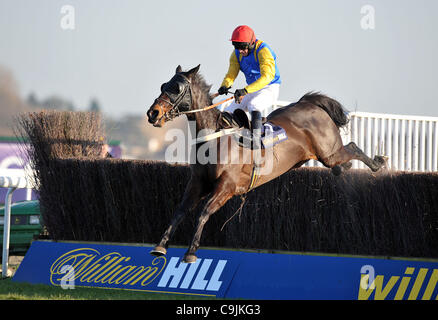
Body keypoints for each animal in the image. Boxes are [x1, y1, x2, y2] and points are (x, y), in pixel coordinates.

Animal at [146, 65, 384, 262]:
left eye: (176, 88)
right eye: (163, 85)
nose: (152, 113)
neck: (215, 138)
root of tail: (310, 104)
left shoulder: (227, 186)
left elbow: (203, 213)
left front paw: (191, 252)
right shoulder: (197, 183)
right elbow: (180, 211)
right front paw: (160, 246)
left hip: (329, 152)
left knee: (352, 147)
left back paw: (377, 163)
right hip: (317, 157)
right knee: (341, 162)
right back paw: (346, 168)